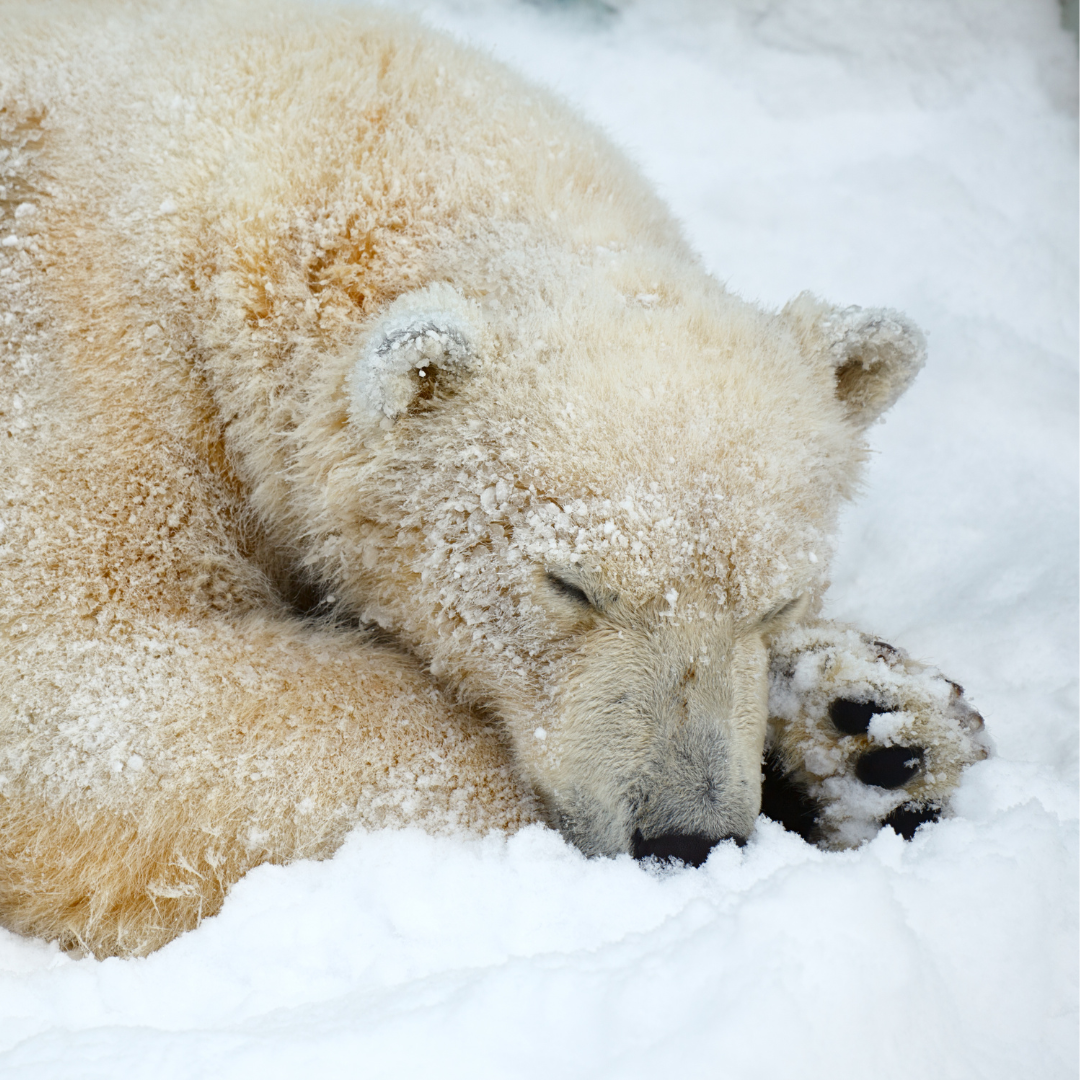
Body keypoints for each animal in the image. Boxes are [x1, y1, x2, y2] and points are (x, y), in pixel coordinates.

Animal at [0, 4, 989, 959]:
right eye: (572, 585)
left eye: (778, 600)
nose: (685, 837)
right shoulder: (86, 362)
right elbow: (86, 692)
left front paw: (871, 728)